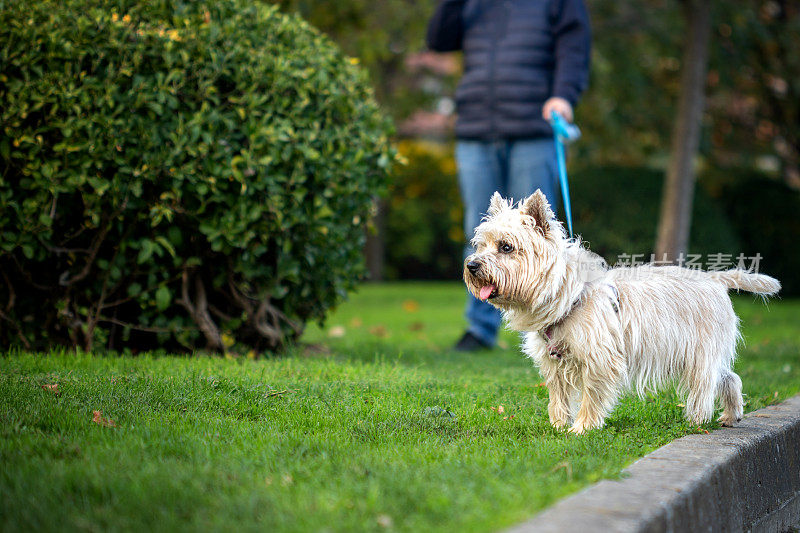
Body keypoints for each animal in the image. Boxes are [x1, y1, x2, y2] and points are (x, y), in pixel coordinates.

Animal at [462, 190, 780, 432]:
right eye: (481, 245)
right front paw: (559, 426)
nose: (472, 265)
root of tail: (715, 279)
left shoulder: (599, 358)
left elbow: (591, 396)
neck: (568, 296)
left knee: (705, 385)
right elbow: (558, 396)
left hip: (698, 352)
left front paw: (582, 429)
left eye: (506, 247)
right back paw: (730, 415)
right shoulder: (555, 363)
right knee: (729, 378)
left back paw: (697, 420)